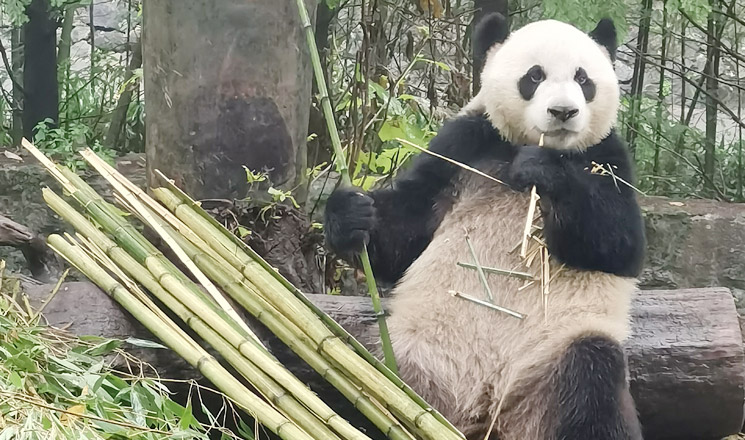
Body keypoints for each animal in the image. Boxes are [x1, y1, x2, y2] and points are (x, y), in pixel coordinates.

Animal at [326, 13, 644, 440]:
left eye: (583, 78)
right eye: (534, 76)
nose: (563, 112)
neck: (527, 145)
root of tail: (482, 407)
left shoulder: (607, 157)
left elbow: (618, 244)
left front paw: (543, 170)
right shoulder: (464, 144)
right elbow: (407, 230)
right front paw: (352, 214)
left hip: (551, 357)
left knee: (594, 380)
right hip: (409, 353)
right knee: (360, 379)